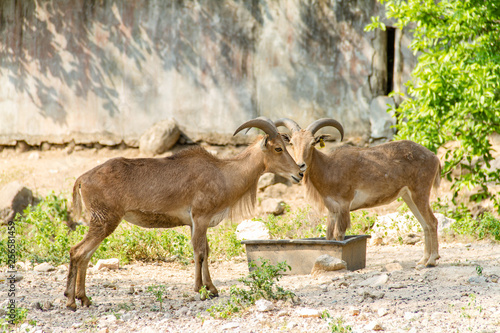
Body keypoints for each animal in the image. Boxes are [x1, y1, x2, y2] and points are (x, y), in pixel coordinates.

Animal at [64, 116, 302, 308]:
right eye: (278, 148)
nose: (300, 172)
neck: (224, 174)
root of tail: (83, 179)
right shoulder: (200, 218)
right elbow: (200, 252)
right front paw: (200, 291)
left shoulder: (195, 223)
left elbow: (206, 251)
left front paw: (212, 289)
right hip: (104, 221)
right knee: (78, 251)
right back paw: (71, 301)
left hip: (101, 222)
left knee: (85, 255)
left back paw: (82, 298)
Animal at [278, 118, 442, 266]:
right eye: (291, 143)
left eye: (312, 143)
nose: (300, 165)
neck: (329, 167)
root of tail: (434, 157)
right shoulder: (332, 210)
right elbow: (329, 236)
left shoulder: (344, 206)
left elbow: (339, 234)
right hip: (409, 197)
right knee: (425, 224)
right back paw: (422, 260)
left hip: (420, 192)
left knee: (432, 221)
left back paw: (432, 260)